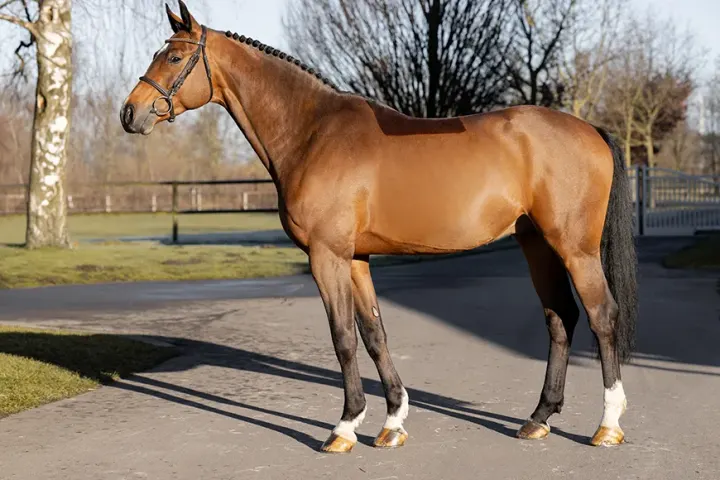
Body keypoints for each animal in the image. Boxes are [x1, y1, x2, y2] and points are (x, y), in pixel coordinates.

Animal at [120, 0, 637, 453]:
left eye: (174, 56)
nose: (130, 113)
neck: (312, 133)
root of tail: (591, 130)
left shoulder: (327, 256)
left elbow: (343, 339)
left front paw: (344, 427)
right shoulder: (355, 258)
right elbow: (374, 334)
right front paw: (392, 422)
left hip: (574, 248)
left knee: (601, 316)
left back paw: (607, 426)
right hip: (537, 245)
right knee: (560, 318)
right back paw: (539, 419)